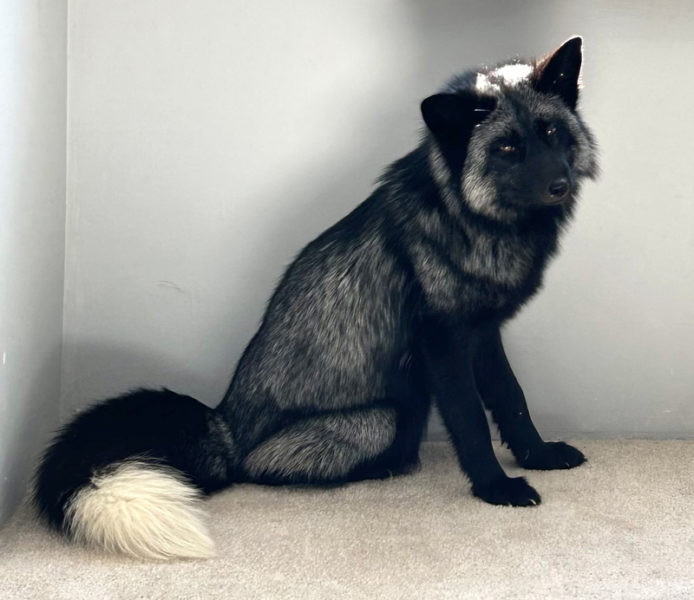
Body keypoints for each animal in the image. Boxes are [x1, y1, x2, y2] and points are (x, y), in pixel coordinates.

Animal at [34, 37, 598, 560]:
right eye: (506, 148)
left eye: (551, 133)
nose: (560, 184)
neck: (473, 219)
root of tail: (223, 426)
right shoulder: (443, 343)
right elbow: (472, 422)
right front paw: (496, 488)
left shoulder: (482, 333)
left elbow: (511, 399)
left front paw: (537, 456)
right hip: (385, 414)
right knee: (257, 472)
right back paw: (377, 470)